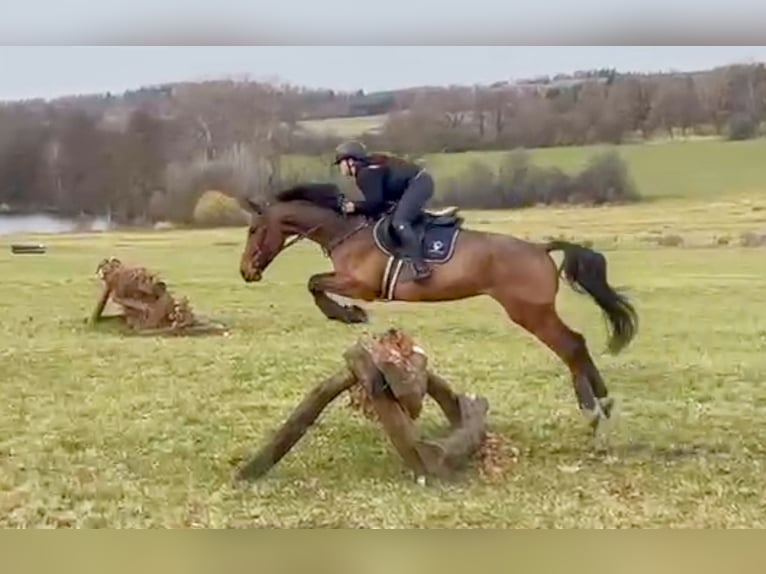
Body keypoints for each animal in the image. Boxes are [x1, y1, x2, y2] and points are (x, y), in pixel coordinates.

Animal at [238, 182, 638, 433]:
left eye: (254, 230)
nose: (245, 272)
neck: (344, 231)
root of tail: (540, 248)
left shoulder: (361, 285)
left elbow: (314, 283)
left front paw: (348, 314)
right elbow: (315, 282)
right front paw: (347, 314)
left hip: (529, 312)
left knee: (570, 345)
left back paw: (592, 408)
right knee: (577, 343)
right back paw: (603, 401)